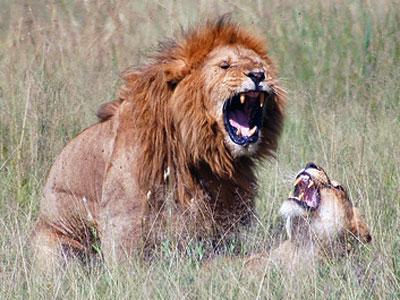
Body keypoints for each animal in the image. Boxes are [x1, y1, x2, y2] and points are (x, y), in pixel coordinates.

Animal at [32, 18, 286, 268]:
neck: (197, 149)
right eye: (225, 66)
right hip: (57, 246)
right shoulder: (123, 225)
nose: (258, 75)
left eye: (260, 64)